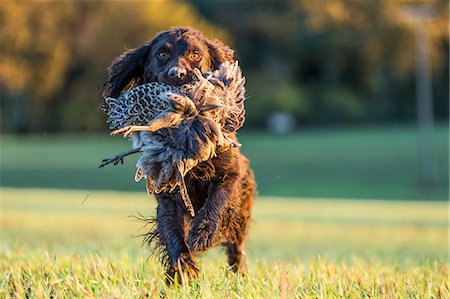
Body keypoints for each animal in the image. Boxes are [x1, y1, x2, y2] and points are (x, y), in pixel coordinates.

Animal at [103, 27, 255, 282]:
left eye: (195, 54)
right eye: (162, 54)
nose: (177, 73)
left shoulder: (231, 175)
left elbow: (219, 200)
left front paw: (203, 233)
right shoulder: (168, 193)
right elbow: (172, 231)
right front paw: (182, 269)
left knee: (237, 246)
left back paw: (239, 274)